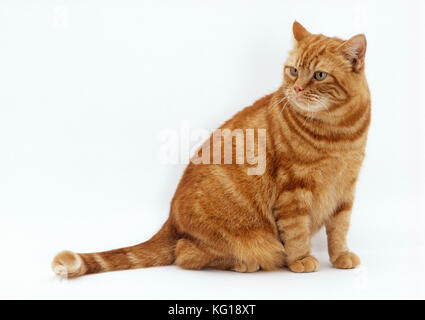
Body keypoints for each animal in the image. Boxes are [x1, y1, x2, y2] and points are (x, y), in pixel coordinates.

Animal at [53, 22, 370, 278]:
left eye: (319, 76)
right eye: (293, 71)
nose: (296, 89)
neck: (339, 133)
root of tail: (170, 220)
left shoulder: (347, 187)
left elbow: (339, 228)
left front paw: (340, 256)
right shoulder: (294, 190)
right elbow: (296, 233)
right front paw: (301, 259)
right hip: (248, 239)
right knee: (186, 254)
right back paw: (245, 263)